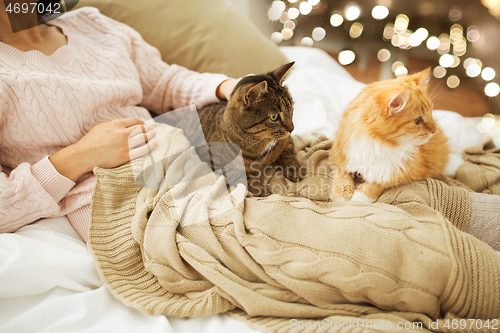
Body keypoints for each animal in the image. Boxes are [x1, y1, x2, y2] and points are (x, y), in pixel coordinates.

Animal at [177, 61, 300, 195]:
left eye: (291, 110)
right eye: (274, 117)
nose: (292, 128)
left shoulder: (286, 141)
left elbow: (288, 152)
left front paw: (294, 169)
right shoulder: (212, 162)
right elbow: (239, 174)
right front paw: (260, 189)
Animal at [330, 67, 452, 202]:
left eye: (431, 113)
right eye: (417, 120)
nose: (433, 130)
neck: (377, 144)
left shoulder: (400, 171)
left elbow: (378, 183)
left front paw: (360, 197)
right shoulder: (339, 156)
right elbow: (342, 176)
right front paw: (341, 196)